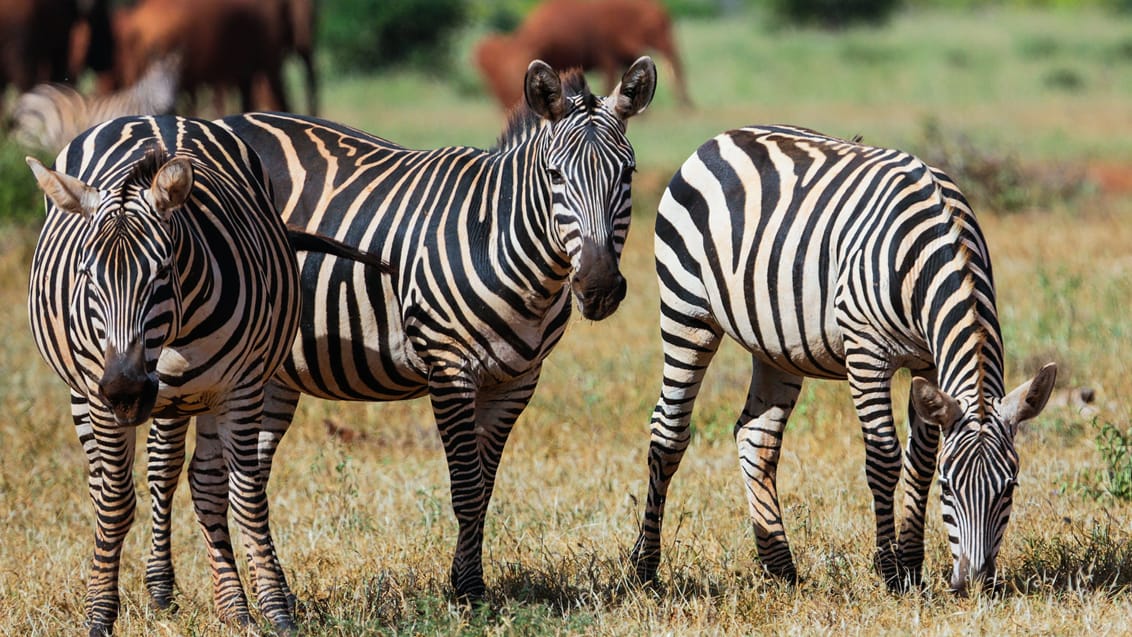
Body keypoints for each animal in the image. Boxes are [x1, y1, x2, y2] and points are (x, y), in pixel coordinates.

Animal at [26, 115, 307, 637]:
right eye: (87, 277)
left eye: (162, 273)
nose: (126, 392)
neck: (173, 337)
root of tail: (156, 116)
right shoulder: (100, 393)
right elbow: (116, 501)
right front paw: (100, 612)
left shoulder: (240, 389)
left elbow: (244, 495)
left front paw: (274, 610)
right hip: (86, 393)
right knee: (108, 482)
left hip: (195, 398)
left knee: (201, 483)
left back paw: (227, 603)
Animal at [196, 57, 656, 601]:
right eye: (555, 175)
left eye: (627, 173)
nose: (600, 287)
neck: (502, 242)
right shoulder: (449, 369)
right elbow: (466, 488)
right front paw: (469, 593)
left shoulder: (516, 381)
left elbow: (485, 487)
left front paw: (467, 581)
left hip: (271, 373)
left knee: (243, 477)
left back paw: (274, 593)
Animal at [633, 126, 1055, 597]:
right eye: (949, 488)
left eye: (1010, 488)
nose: (974, 584)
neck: (931, 255)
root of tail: (722, 136)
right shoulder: (866, 352)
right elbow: (885, 458)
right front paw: (890, 571)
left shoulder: (928, 362)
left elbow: (921, 459)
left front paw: (912, 565)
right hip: (687, 310)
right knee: (668, 430)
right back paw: (645, 567)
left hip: (776, 345)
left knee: (756, 437)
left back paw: (780, 567)